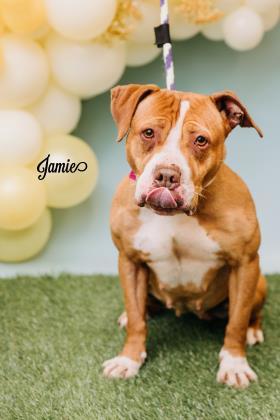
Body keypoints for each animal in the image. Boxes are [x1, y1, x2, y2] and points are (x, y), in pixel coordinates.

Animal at [103, 83, 266, 388]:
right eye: (148, 133)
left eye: (201, 140)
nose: (167, 175)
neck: (174, 216)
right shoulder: (130, 261)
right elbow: (137, 319)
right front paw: (129, 359)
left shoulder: (244, 264)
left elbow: (237, 321)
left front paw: (234, 364)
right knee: (140, 308)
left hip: (259, 281)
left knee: (250, 312)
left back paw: (253, 331)